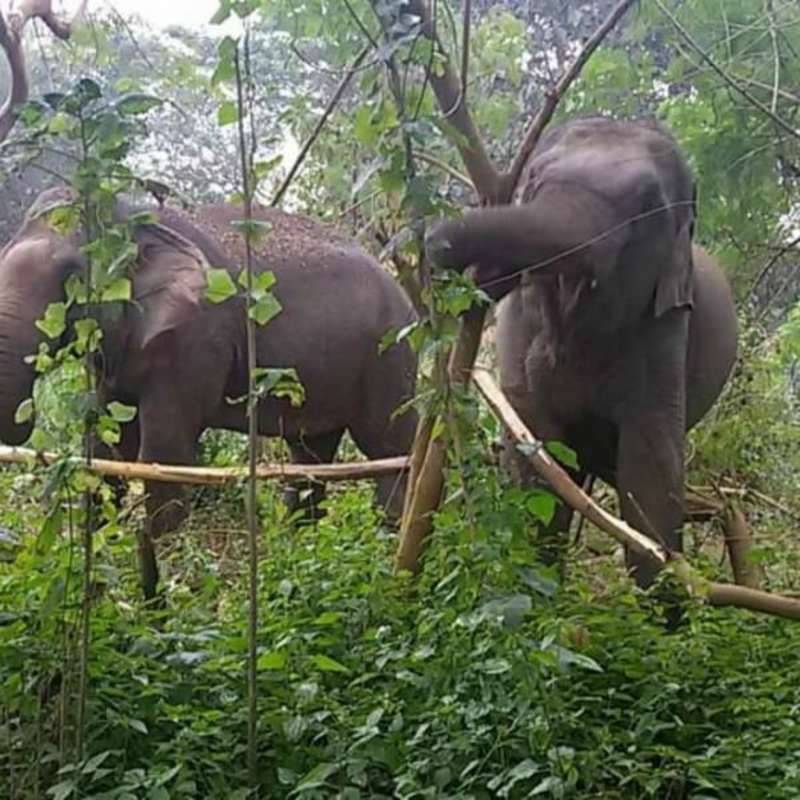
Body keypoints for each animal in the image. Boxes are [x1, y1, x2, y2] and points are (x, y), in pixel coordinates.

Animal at [0, 187, 418, 597]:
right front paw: (99, 590)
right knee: (309, 459)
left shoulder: (195, 339)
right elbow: (106, 452)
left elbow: (164, 455)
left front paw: (163, 580)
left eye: (73, 276)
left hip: (390, 360)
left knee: (389, 451)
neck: (135, 215)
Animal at [427, 117, 738, 589]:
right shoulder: (519, 328)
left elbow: (651, 463)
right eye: (533, 179)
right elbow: (536, 450)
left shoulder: (664, 326)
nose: (427, 242)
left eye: (649, 204)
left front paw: (660, 604)